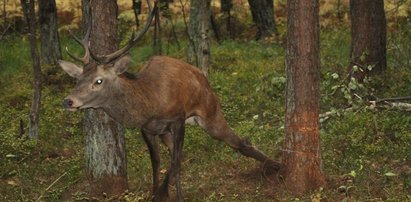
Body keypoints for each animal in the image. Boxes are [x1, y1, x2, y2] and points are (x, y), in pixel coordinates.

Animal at [58, 0, 280, 201]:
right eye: (78, 79)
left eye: (98, 80)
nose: (68, 101)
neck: (150, 103)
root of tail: (202, 77)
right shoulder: (147, 128)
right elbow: (157, 162)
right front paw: (156, 192)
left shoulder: (177, 119)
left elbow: (174, 161)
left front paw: (161, 194)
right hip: (169, 132)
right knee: (180, 156)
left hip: (210, 111)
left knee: (239, 142)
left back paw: (276, 165)